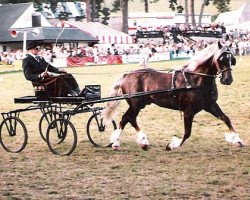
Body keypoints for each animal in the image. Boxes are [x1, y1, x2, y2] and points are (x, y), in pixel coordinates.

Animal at [101, 41, 242, 151]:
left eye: (232, 60)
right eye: (221, 59)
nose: (227, 80)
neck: (196, 79)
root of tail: (128, 74)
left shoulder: (210, 105)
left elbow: (226, 119)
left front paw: (237, 140)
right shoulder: (188, 111)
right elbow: (187, 133)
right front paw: (172, 145)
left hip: (140, 104)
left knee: (128, 119)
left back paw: (135, 142)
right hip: (136, 104)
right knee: (127, 118)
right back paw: (122, 142)